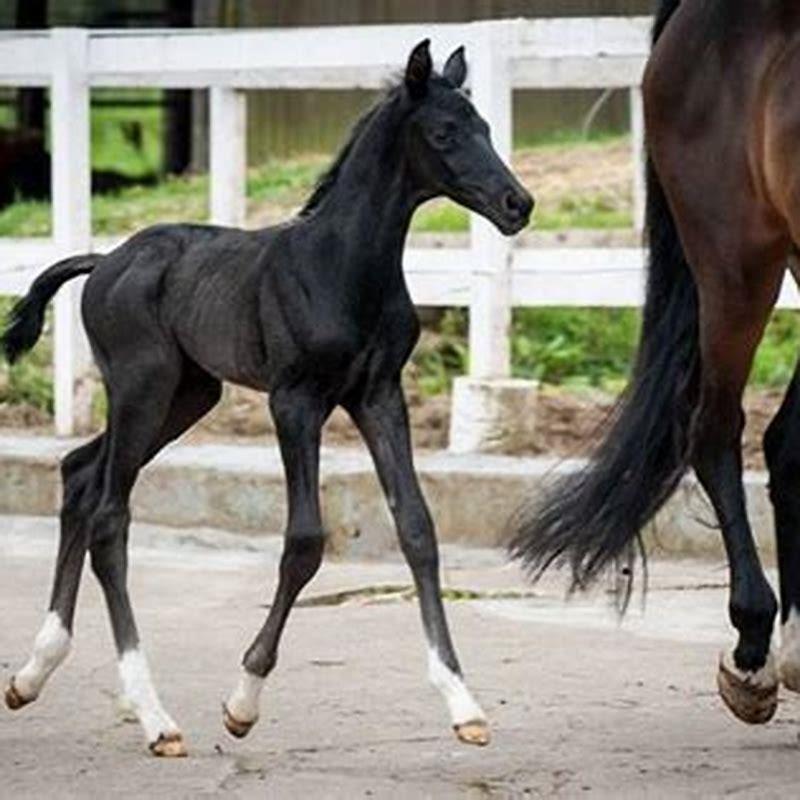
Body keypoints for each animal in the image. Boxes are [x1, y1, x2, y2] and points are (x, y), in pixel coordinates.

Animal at [1, 40, 533, 757]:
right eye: (446, 133)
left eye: (487, 128)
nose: (517, 204)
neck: (342, 266)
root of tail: (105, 260)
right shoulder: (295, 401)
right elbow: (304, 540)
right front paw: (242, 701)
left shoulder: (378, 396)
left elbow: (418, 529)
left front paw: (463, 704)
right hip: (142, 387)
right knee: (110, 515)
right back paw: (155, 716)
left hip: (188, 395)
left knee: (80, 475)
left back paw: (33, 674)